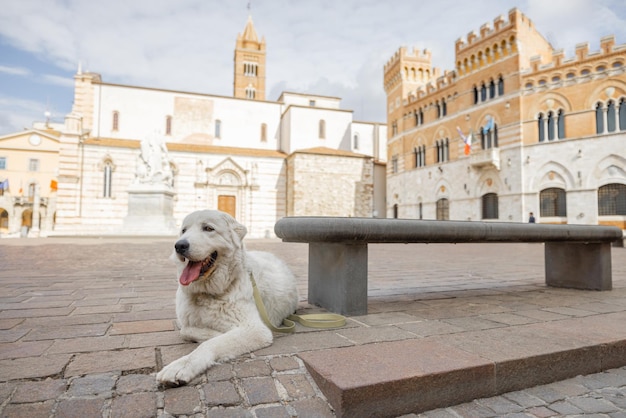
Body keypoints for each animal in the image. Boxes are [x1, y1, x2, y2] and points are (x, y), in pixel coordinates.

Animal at [153, 209, 294, 386]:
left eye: (208, 228)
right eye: (184, 230)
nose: (179, 245)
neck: (207, 294)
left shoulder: (256, 330)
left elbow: (208, 344)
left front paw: (182, 365)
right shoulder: (187, 325)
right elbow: (186, 331)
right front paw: (213, 333)